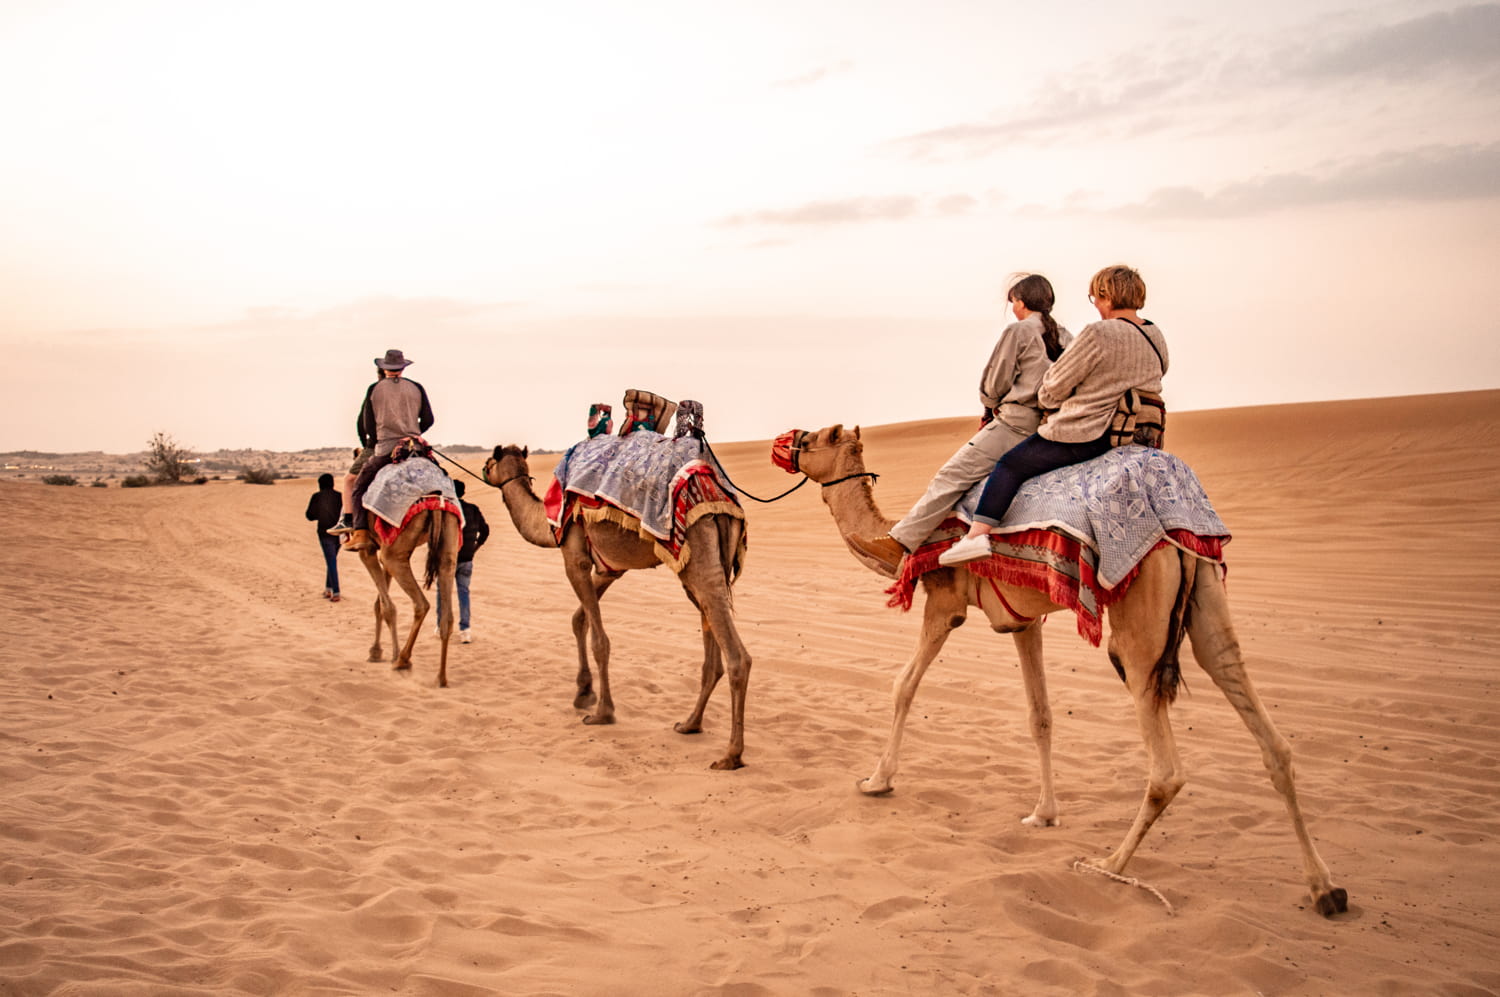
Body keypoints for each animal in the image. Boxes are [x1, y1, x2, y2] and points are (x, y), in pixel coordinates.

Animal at [352, 500, 459, 689]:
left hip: (395, 554)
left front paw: (388, 654)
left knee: (421, 604)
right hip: (448, 550)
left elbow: (386, 607)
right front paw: (375, 651)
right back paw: (441, 678)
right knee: (447, 617)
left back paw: (401, 661)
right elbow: (379, 604)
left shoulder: (368, 550)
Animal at [486, 443, 756, 767]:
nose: (483, 471)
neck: (547, 519)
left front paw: (602, 712)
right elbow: (579, 619)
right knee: (712, 651)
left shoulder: (574, 555)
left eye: (489, 461)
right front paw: (583, 692)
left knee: (737, 656)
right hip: (704, 568)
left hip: (698, 552)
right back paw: (690, 724)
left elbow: (600, 641)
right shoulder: (609, 569)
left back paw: (731, 755)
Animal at [786, 422, 1350, 911]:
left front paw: (876, 781)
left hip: (1137, 619)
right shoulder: (1021, 621)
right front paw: (1043, 813)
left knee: (1165, 765)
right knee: (1261, 721)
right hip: (1207, 589)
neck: (896, 539)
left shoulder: (944, 602)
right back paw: (1325, 888)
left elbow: (903, 685)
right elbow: (1040, 716)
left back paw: (1110, 864)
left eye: (810, 440)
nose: (785, 444)